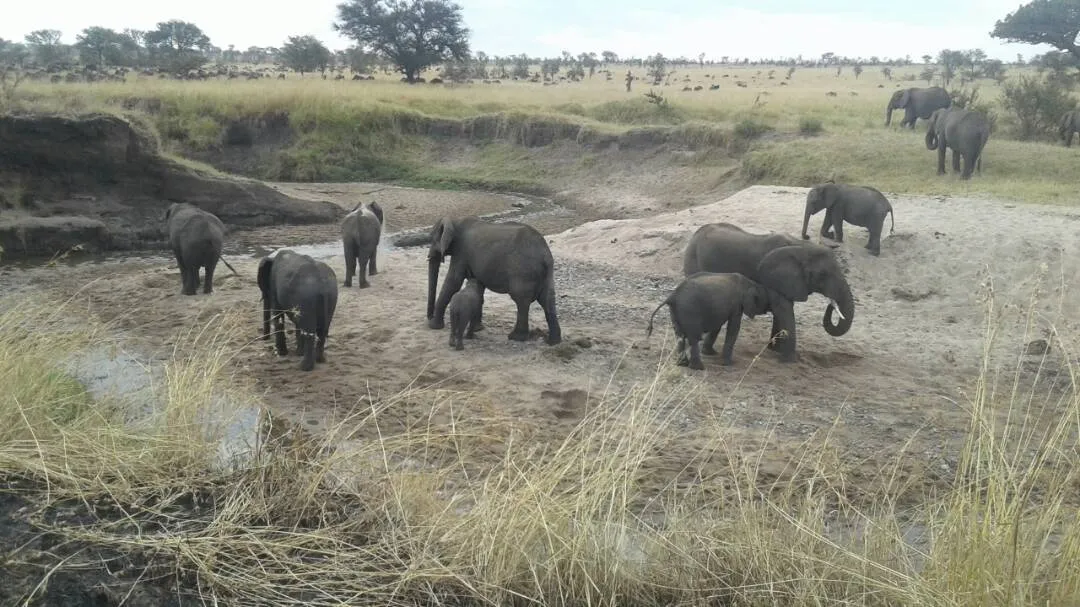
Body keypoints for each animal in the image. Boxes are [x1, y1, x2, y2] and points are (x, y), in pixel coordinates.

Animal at [427, 216, 561, 345]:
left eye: (432, 240)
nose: (429, 317)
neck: (455, 220)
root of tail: (545, 254)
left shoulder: (461, 252)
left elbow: (453, 282)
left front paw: (434, 326)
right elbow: (477, 286)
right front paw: (478, 329)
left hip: (523, 271)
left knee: (521, 300)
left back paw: (516, 337)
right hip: (545, 273)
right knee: (547, 299)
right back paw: (553, 341)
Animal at [646, 272, 774, 370]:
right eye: (765, 301)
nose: (770, 308)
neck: (750, 283)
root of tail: (672, 296)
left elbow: (717, 326)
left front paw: (711, 353)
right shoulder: (737, 305)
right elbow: (734, 328)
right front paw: (728, 363)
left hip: (675, 311)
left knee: (680, 336)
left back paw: (682, 364)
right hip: (690, 310)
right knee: (693, 338)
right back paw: (698, 368)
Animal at [682, 222, 855, 362]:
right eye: (822, 275)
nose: (831, 303)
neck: (802, 246)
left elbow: (783, 310)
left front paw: (775, 350)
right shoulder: (771, 278)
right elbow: (784, 309)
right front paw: (790, 360)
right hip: (693, 260)